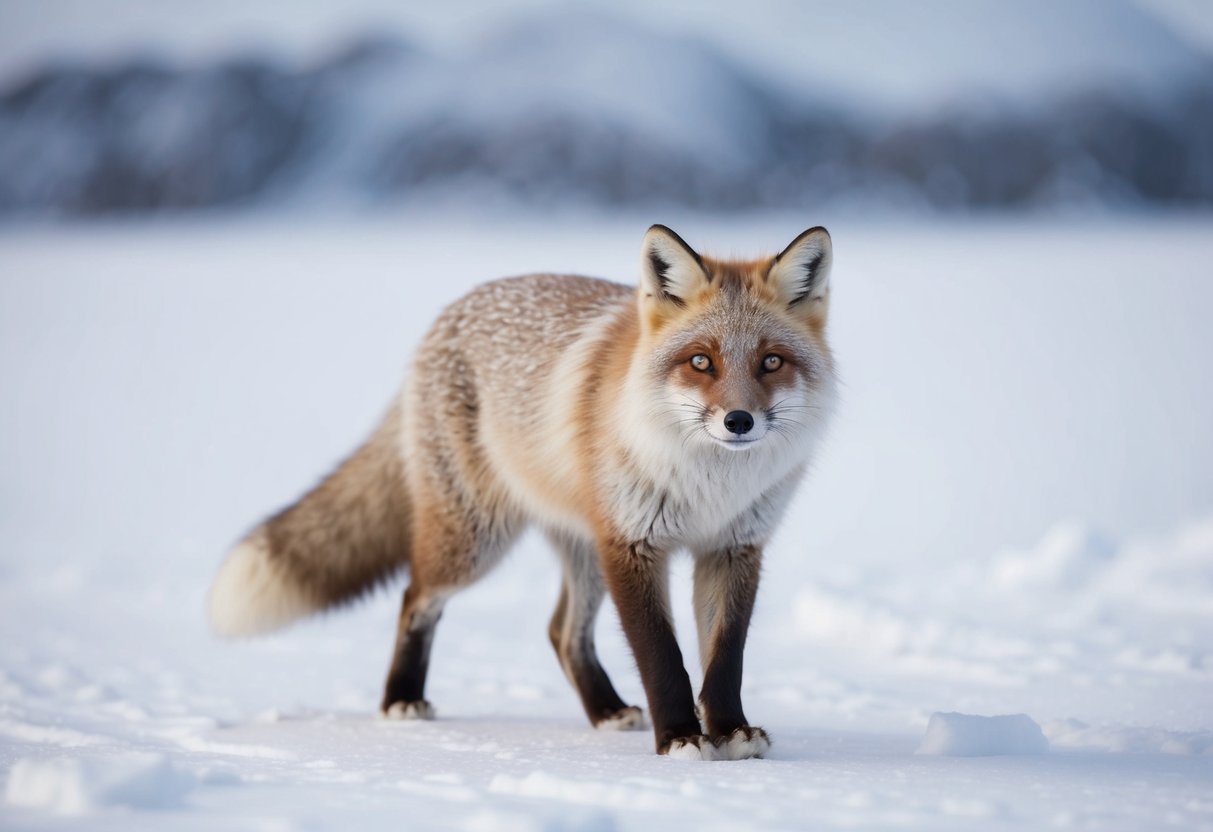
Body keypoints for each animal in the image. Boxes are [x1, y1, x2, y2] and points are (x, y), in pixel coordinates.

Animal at [208, 224, 837, 760]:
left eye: (771, 362)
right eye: (701, 361)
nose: (738, 421)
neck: (709, 486)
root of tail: (447, 315)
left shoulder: (733, 548)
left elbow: (724, 660)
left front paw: (730, 733)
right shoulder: (632, 544)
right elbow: (663, 657)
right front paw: (681, 739)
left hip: (582, 553)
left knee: (562, 632)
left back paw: (605, 710)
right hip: (475, 542)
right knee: (415, 596)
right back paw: (400, 701)